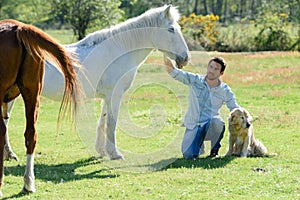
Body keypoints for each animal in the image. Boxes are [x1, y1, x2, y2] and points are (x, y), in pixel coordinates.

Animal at [3, 4, 190, 160]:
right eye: (171, 29)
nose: (185, 58)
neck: (119, 49)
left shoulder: (107, 96)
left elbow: (103, 121)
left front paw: (101, 151)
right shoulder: (114, 94)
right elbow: (111, 123)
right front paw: (114, 153)